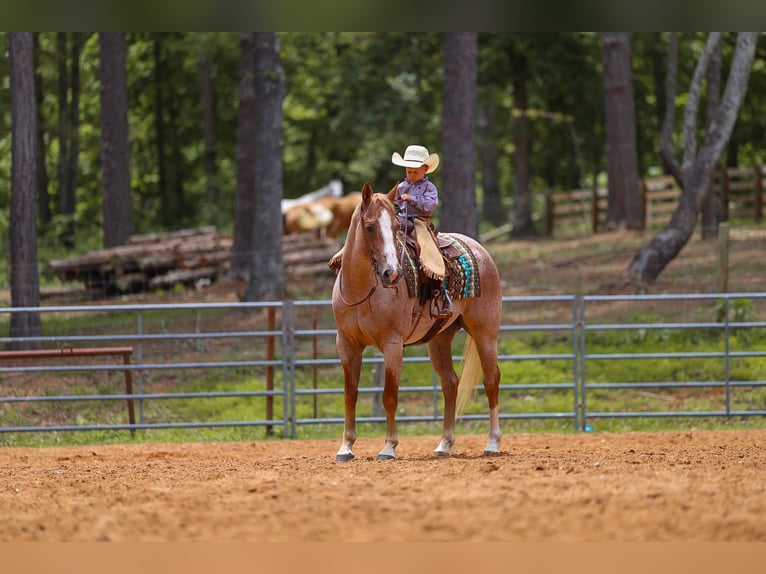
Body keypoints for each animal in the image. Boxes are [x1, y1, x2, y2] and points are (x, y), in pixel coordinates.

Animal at [331, 181, 503, 462]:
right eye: (370, 226)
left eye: (395, 227)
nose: (392, 274)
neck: (363, 291)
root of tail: (480, 250)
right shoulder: (346, 344)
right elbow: (350, 393)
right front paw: (346, 447)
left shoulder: (392, 345)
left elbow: (389, 395)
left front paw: (388, 447)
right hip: (440, 339)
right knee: (450, 384)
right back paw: (445, 444)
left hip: (485, 333)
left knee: (491, 380)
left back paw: (492, 443)